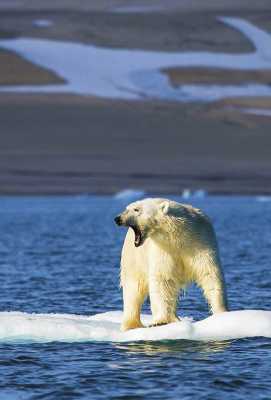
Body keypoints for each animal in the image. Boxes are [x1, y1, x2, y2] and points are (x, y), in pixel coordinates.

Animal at [115, 197, 230, 332]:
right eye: (127, 208)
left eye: (136, 209)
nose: (118, 218)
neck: (179, 237)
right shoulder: (163, 250)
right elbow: (163, 280)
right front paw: (161, 321)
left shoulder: (202, 242)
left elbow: (209, 273)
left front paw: (221, 313)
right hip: (134, 258)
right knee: (133, 289)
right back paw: (131, 325)